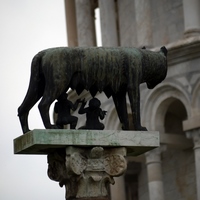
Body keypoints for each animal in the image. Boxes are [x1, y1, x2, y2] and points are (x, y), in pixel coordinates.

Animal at [17, 46, 167, 134]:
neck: (146, 58)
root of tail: (43, 52)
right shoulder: (133, 86)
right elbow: (135, 109)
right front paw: (140, 129)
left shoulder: (119, 92)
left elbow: (123, 113)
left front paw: (127, 130)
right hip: (57, 83)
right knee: (43, 104)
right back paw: (50, 127)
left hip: (38, 86)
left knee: (23, 108)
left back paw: (26, 131)